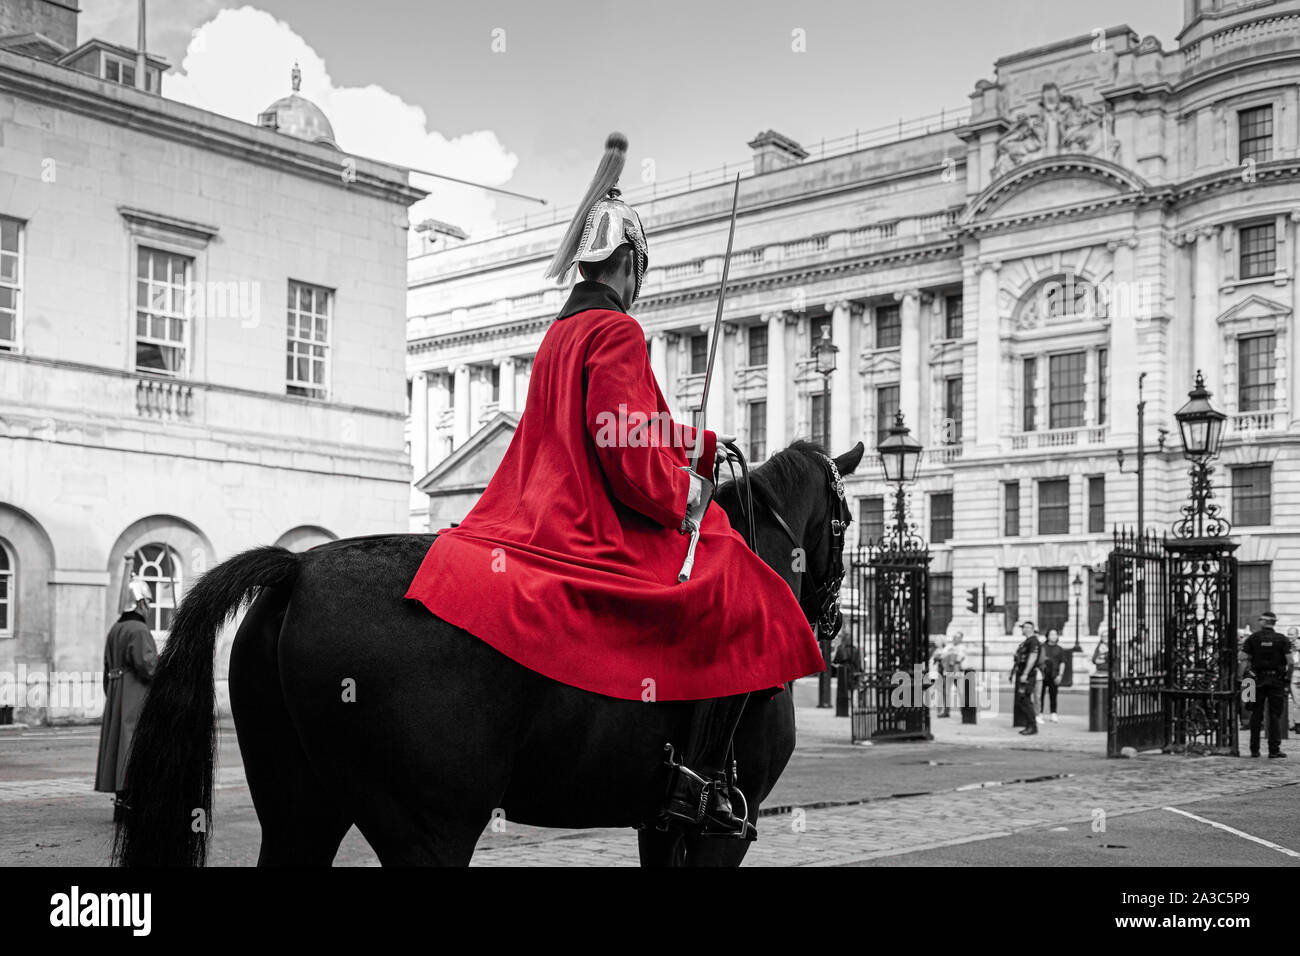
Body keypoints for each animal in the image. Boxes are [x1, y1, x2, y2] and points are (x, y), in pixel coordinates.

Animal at [114, 442, 863, 868]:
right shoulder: (722, 827)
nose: (829, 622)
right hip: (430, 829)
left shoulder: (659, 822)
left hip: (300, 806)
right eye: (846, 519)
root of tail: (298, 569)